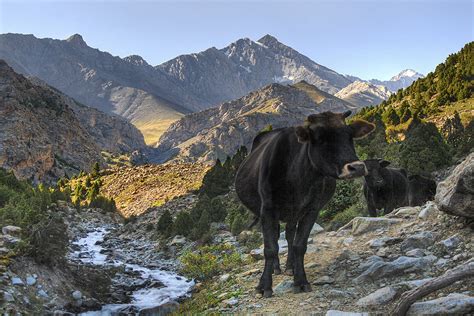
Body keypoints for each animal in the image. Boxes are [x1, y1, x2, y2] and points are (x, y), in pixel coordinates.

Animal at [234, 111, 374, 298]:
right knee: (278, 237)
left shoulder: (312, 210)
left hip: (294, 214)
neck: (296, 178)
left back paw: (290, 267)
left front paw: (300, 281)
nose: (357, 167)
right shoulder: (267, 210)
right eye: (320, 138)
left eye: (350, 135)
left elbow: (299, 245)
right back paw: (277, 268)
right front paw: (264, 286)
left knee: (290, 236)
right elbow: (270, 248)